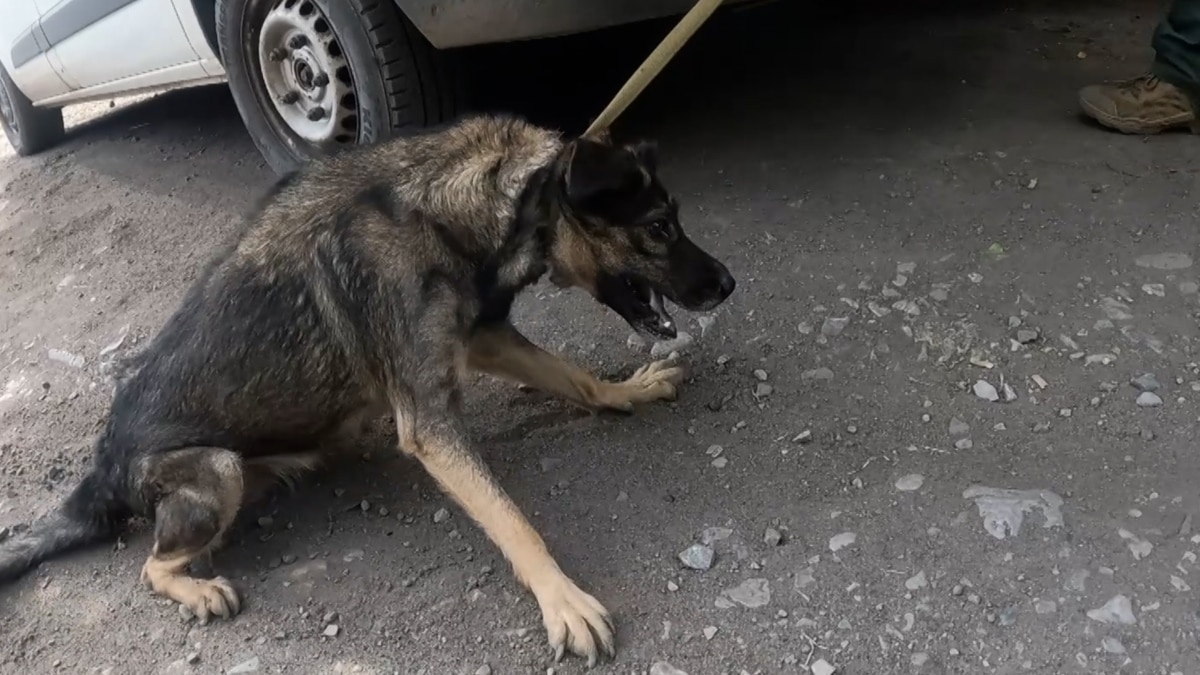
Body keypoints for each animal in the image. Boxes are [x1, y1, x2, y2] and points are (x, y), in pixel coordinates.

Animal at [0, 114, 729, 662]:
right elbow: (512, 519)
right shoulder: (430, 420)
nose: (727, 284)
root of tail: (101, 470)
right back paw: (200, 590)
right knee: (151, 566)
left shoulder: (481, 337)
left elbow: (571, 375)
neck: (449, 210)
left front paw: (624, 391)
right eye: (659, 227)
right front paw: (562, 599)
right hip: (216, 471)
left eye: (675, 218)